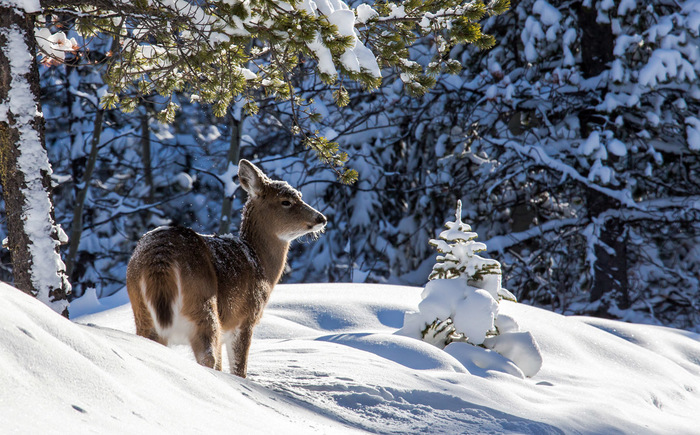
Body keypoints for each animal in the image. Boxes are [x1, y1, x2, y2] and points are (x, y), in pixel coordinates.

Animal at [126, 159, 328, 378]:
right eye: (286, 201)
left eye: (299, 195)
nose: (321, 218)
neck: (258, 261)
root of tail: (161, 256)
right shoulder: (246, 318)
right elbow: (239, 369)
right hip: (202, 305)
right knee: (207, 357)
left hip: (143, 312)